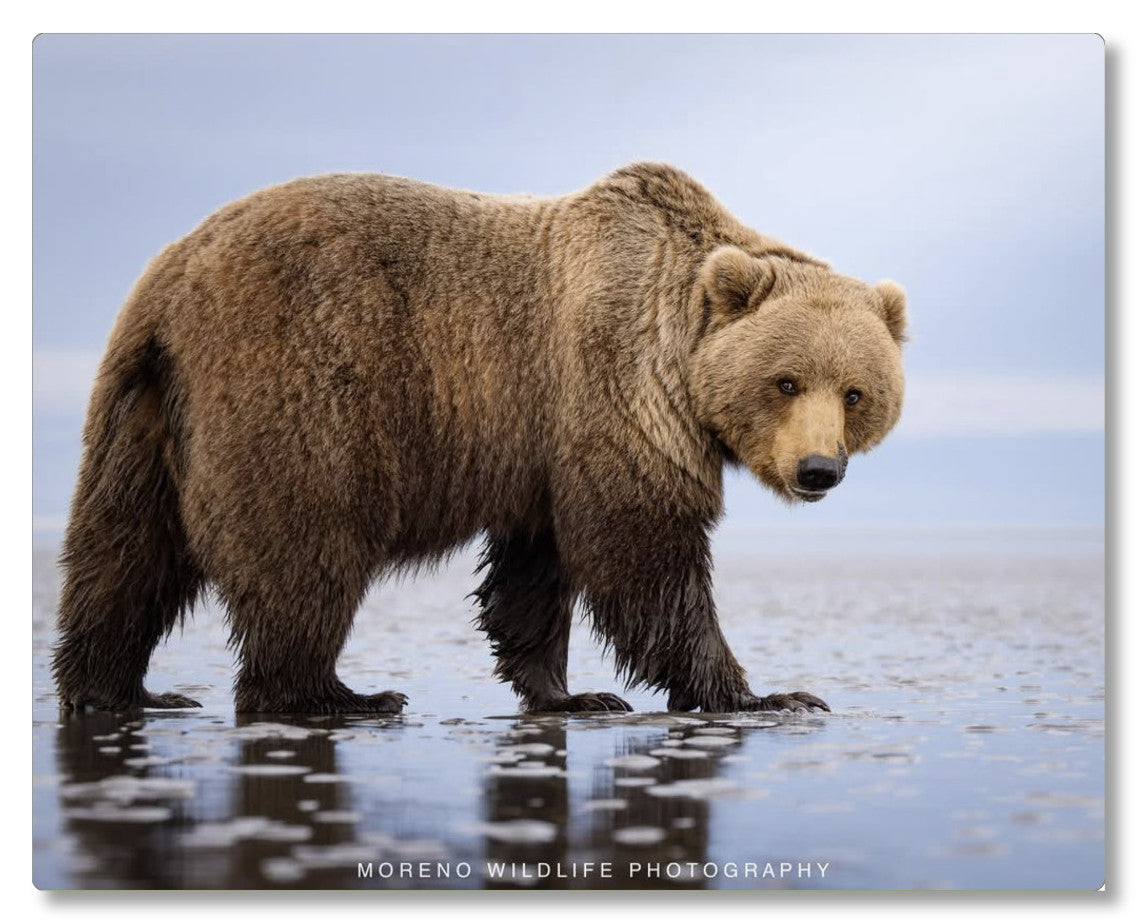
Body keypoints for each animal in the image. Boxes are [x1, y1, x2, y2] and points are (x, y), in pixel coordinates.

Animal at [51, 162, 906, 715]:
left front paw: (570, 693)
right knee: (305, 546)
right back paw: (334, 694)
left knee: (125, 553)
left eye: (856, 392)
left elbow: (536, 568)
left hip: (142, 411)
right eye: (786, 381)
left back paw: (121, 690)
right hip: (297, 381)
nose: (818, 469)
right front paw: (768, 694)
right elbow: (643, 550)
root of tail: (170, 281)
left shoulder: (540, 443)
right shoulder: (613, 388)